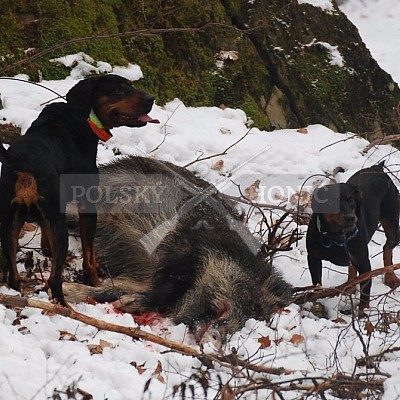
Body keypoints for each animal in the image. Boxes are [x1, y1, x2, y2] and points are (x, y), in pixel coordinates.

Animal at [0, 73, 159, 304]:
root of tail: (23, 163)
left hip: (9, 223)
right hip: (59, 230)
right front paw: (94, 281)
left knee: (13, 274)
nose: (151, 98)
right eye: (119, 90)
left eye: (131, 85)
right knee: (54, 279)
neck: (85, 119)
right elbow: (88, 253)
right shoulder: (88, 205)